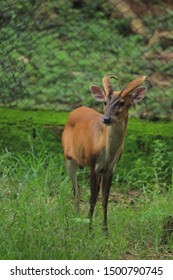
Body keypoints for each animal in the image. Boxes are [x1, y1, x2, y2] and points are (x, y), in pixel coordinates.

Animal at [61, 74, 147, 232]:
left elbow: (105, 199)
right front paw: (89, 229)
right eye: (105, 102)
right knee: (76, 190)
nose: (106, 119)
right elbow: (92, 198)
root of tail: (74, 111)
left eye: (121, 103)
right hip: (68, 157)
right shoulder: (92, 164)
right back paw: (77, 216)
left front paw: (105, 230)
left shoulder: (110, 169)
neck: (106, 151)